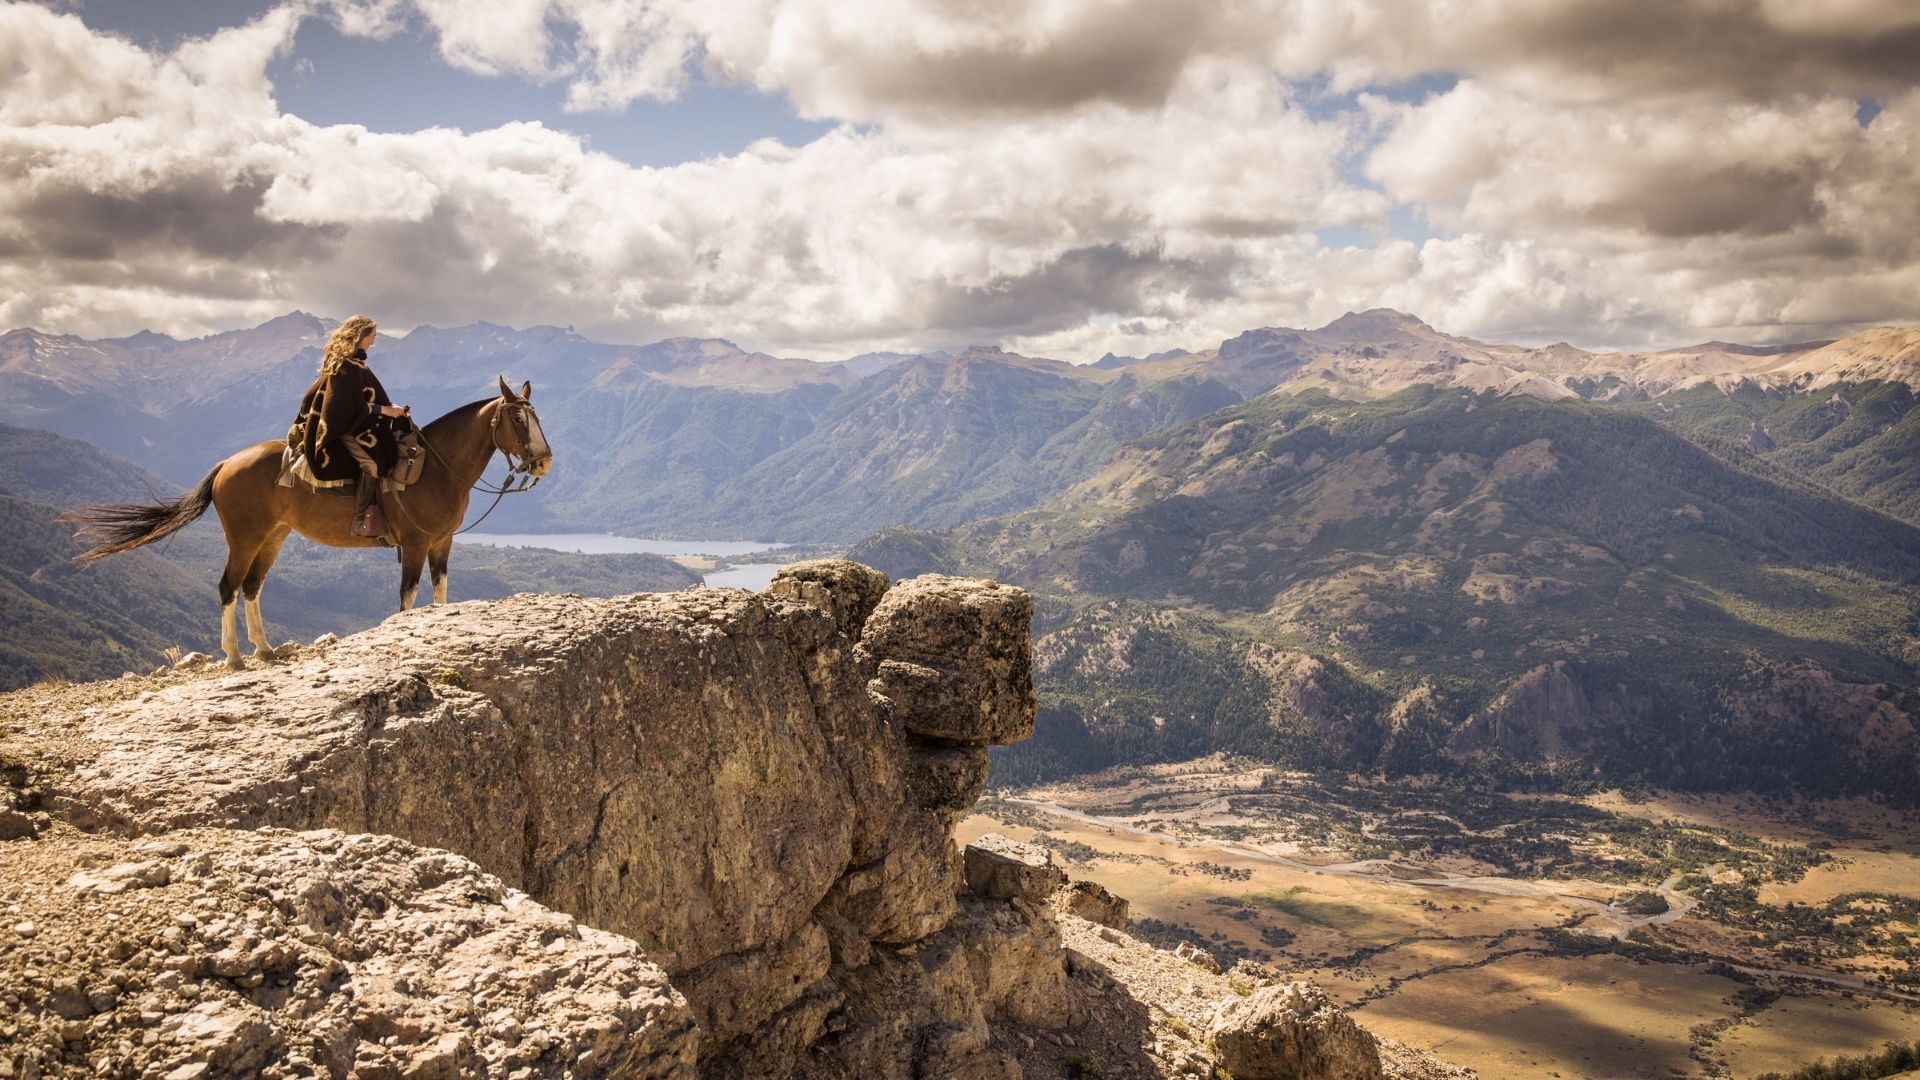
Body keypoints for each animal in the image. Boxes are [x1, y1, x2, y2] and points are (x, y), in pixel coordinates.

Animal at [64, 376, 552, 669]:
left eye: (537, 417)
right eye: (516, 417)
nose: (544, 461)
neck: (435, 468)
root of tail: (227, 464)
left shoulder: (441, 543)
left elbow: (441, 594)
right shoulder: (414, 544)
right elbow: (408, 599)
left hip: (273, 537)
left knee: (252, 586)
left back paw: (264, 649)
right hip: (244, 538)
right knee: (229, 586)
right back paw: (235, 657)